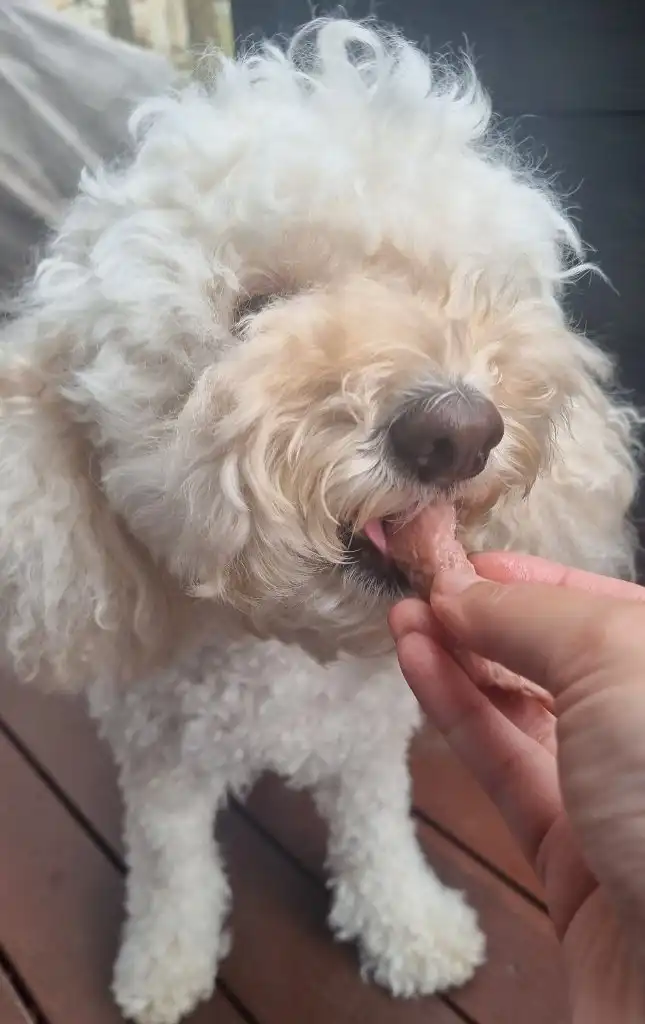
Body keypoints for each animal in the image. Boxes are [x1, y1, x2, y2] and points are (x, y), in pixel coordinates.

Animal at [0, 18, 640, 1024]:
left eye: (452, 288)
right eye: (254, 308)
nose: (457, 432)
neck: (278, 656)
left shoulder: (368, 747)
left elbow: (377, 835)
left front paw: (410, 927)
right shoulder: (162, 765)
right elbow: (173, 868)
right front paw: (163, 963)